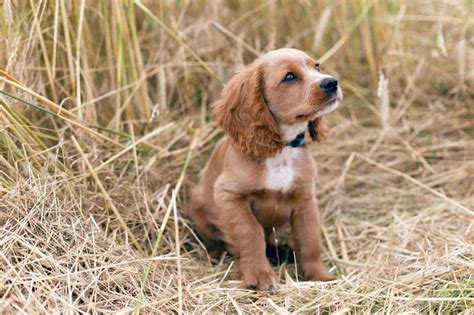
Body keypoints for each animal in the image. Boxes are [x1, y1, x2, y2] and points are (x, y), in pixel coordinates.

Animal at [188, 48, 340, 290]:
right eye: (289, 76)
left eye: (316, 66)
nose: (332, 82)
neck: (281, 149)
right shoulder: (230, 196)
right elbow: (251, 233)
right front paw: (259, 275)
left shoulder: (306, 200)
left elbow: (310, 239)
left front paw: (320, 275)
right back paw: (216, 252)